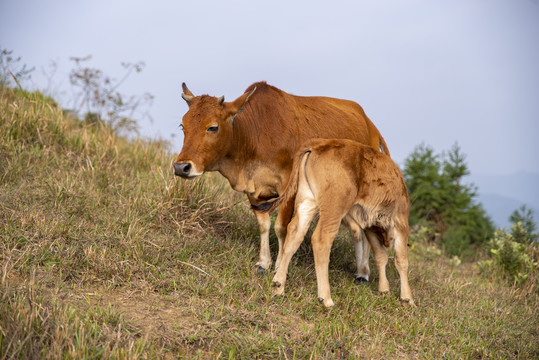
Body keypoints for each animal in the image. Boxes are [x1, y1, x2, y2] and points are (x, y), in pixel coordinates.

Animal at [173, 81, 388, 278]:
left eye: (213, 127)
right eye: (183, 125)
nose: (181, 167)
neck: (255, 134)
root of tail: (371, 126)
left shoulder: (287, 189)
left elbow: (281, 228)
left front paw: (279, 266)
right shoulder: (254, 190)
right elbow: (263, 225)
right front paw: (263, 263)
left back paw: (363, 273)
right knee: (357, 228)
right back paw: (361, 272)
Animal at [258, 139, 414, 308]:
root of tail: (318, 144)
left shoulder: (369, 226)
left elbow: (381, 256)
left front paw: (384, 290)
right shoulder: (401, 223)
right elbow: (401, 260)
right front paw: (407, 298)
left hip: (307, 201)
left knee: (294, 233)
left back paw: (278, 286)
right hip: (334, 209)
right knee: (321, 239)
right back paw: (326, 299)